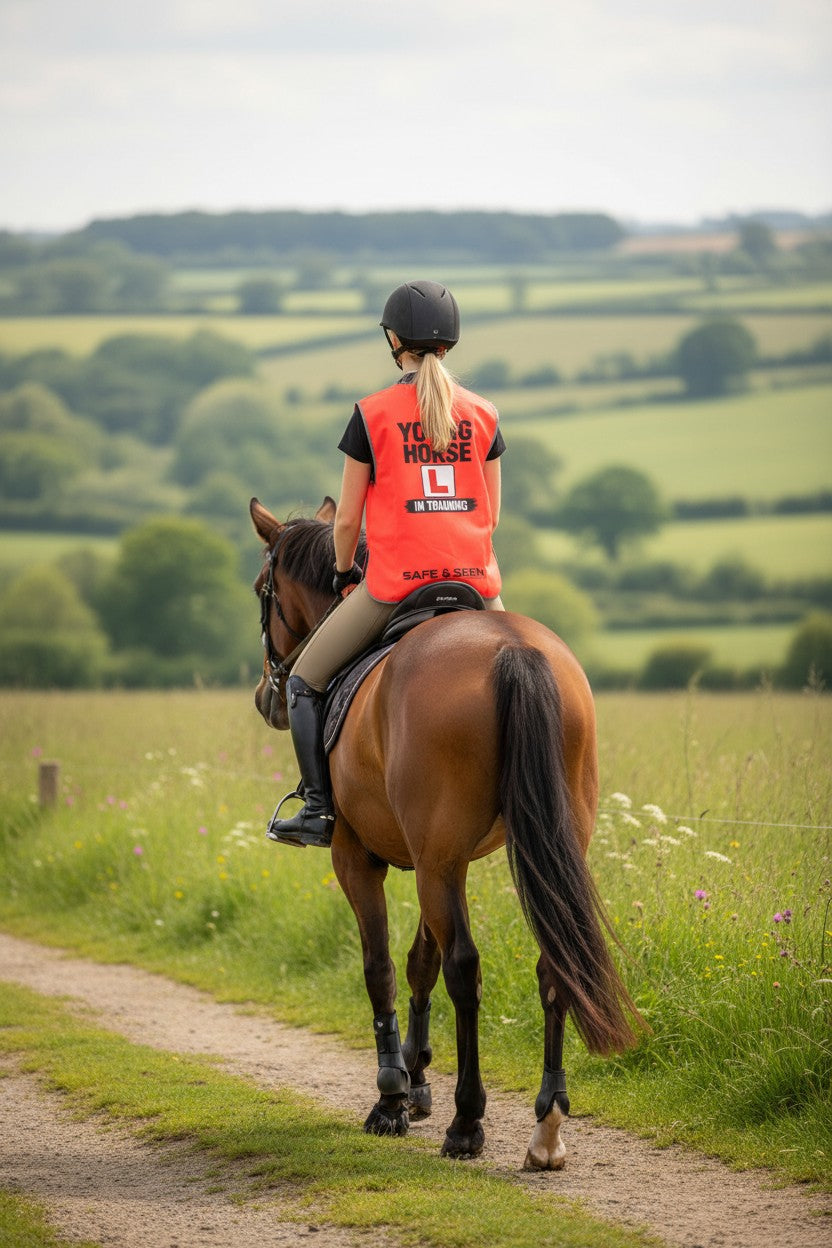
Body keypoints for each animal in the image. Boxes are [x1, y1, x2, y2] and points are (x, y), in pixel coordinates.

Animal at [251, 495, 644, 1168]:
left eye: (260, 589)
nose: (265, 697)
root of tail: (514, 651)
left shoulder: (361, 858)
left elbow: (382, 966)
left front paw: (391, 1095)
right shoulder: (436, 857)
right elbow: (419, 963)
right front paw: (415, 1081)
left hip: (431, 863)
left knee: (465, 968)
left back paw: (468, 1121)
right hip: (511, 850)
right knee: (552, 962)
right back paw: (547, 1124)